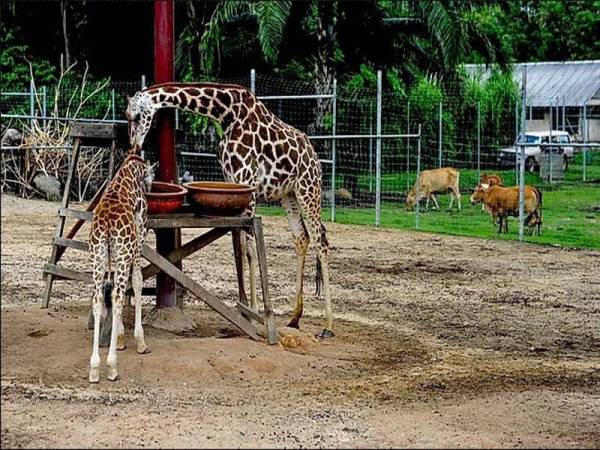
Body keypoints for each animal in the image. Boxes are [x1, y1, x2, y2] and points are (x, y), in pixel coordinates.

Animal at [89, 153, 156, 382]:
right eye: (152, 177)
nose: (150, 186)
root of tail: (107, 223)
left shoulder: (115, 256)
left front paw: (118, 337)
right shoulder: (139, 238)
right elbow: (137, 281)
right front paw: (139, 341)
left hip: (98, 255)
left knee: (98, 298)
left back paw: (94, 368)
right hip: (124, 251)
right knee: (117, 297)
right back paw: (111, 367)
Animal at [126, 83, 336, 338]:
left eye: (137, 116)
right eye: (127, 117)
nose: (134, 147)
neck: (226, 113)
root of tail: (314, 156)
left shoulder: (248, 182)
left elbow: (251, 250)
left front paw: (255, 312)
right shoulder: (233, 183)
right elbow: (239, 248)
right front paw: (245, 309)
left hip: (308, 188)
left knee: (320, 240)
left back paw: (327, 325)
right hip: (289, 195)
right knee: (302, 238)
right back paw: (295, 318)